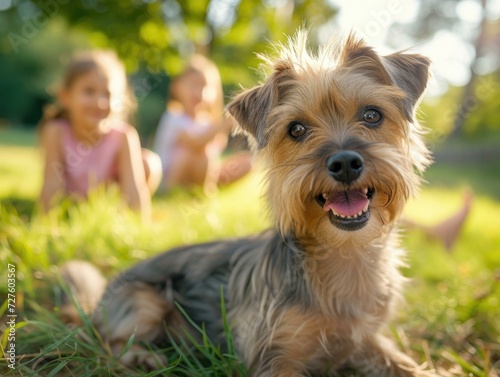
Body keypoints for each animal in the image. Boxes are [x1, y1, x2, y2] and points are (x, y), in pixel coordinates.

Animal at [60, 30, 436, 374]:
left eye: (372, 115)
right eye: (296, 129)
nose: (344, 162)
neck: (345, 253)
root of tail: (98, 303)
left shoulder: (366, 338)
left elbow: (405, 364)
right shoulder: (273, 355)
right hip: (142, 300)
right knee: (106, 342)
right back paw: (141, 356)